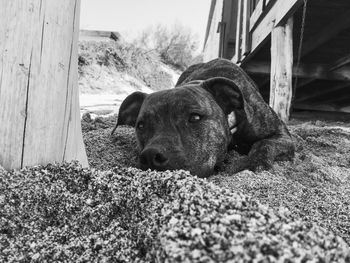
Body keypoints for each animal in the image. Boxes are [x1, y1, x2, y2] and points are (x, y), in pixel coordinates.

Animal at [110, 57, 294, 177]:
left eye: (195, 118)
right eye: (141, 126)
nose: (150, 155)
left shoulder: (283, 135)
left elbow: (264, 144)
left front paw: (252, 163)